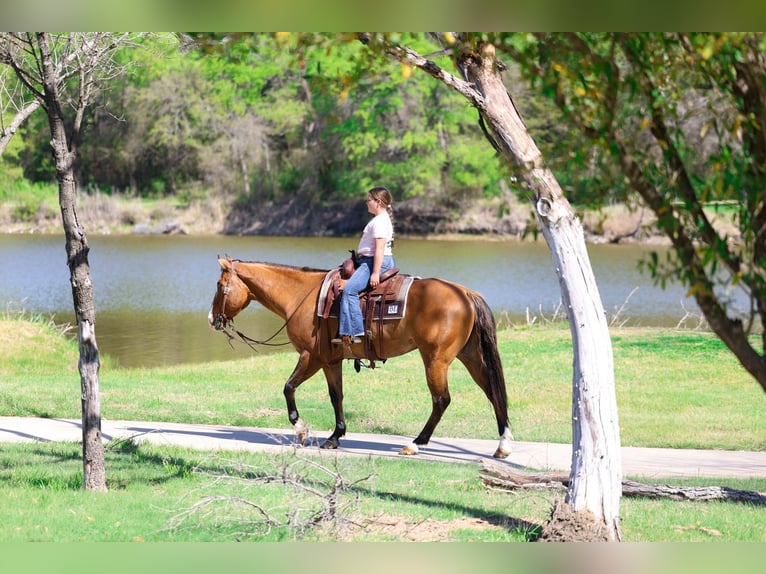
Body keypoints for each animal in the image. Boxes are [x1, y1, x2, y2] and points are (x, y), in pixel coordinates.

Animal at [208, 256, 513, 458]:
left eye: (219, 284)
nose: (212, 319)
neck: (301, 296)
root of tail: (465, 292)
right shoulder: (331, 361)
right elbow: (336, 396)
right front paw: (335, 436)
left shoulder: (311, 356)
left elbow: (288, 387)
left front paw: (302, 429)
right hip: (469, 356)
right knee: (492, 391)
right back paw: (503, 445)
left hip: (435, 360)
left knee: (441, 400)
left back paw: (415, 443)